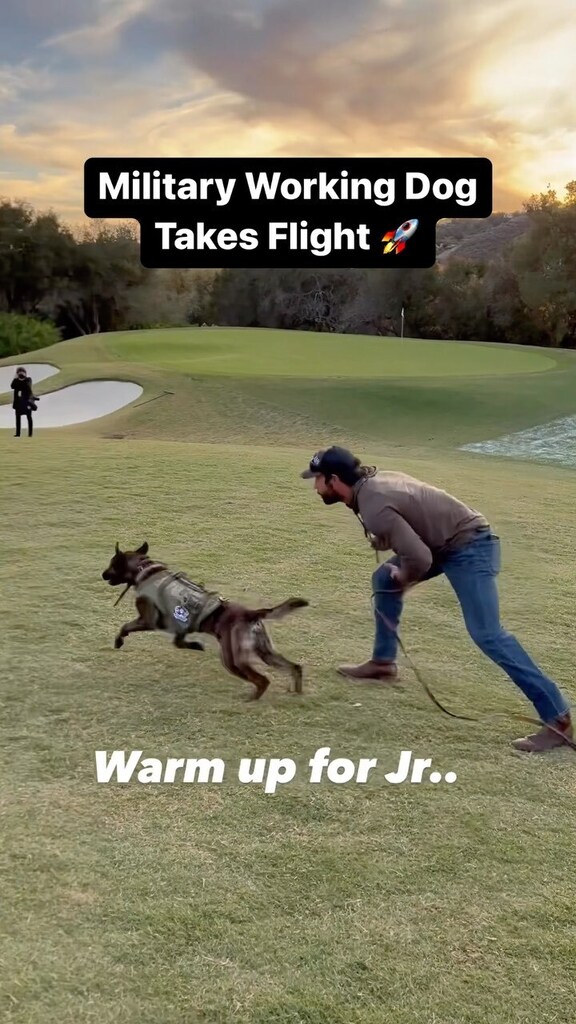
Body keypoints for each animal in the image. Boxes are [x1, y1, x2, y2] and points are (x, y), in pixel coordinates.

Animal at [101, 540, 309, 700]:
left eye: (111, 564)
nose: (102, 575)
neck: (143, 570)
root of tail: (251, 613)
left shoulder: (148, 620)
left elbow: (125, 627)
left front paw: (118, 641)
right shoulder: (180, 626)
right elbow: (179, 642)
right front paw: (195, 646)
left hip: (232, 659)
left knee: (263, 680)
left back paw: (250, 701)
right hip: (264, 651)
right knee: (294, 667)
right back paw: (297, 694)